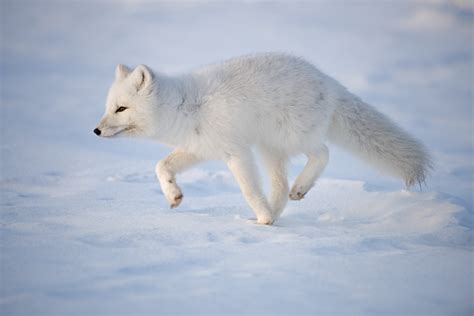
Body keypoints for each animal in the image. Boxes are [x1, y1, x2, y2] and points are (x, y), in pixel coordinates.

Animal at [94, 53, 432, 225]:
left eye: (121, 109)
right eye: (109, 107)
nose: (95, 131)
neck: (185, 105)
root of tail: (329, 81)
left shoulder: (236, 152)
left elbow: (248, 189)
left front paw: (261, 213)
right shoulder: (200, 149)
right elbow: (161, 166)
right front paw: (173, 196)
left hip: (290, 137)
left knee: (323, 153)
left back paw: (290, 197)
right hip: (272, 150)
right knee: (280, 187)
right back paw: (272, 216)